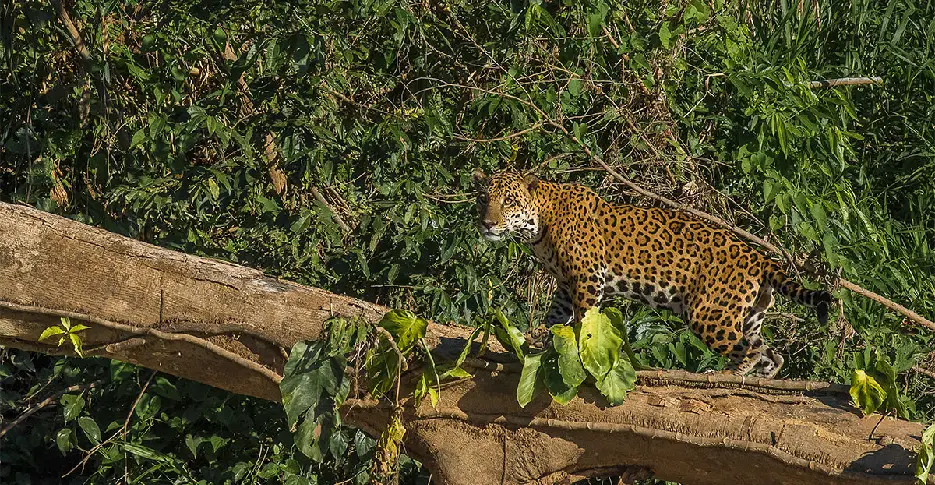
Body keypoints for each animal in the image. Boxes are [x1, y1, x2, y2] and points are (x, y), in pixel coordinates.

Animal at [472, 169, 834, 378]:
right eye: (483, 198)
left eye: (509, 201)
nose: (486, 223)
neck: (538, 225)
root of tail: (761, 258)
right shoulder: (564, 283)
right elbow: (557, 317)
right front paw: (538, 339)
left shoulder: (586, 278)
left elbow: (584, 319)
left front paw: (577, 349)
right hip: (748, 315)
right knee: (772, 354)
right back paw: (758, 379)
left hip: (709, 313)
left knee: (751, 350)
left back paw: (727, 377)